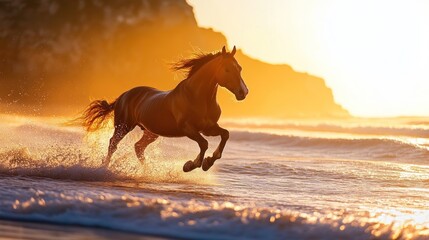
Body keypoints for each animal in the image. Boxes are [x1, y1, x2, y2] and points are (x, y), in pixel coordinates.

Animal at [80, 45, 247, 172]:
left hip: (151, 132)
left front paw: (208, 162)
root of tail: (124, 95)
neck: (198, 97)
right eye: (227, 69)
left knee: (138, 147)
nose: (243, 92)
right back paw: (104, 167)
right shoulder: (188, 128)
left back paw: (147, 171)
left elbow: (225, 134)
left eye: (239, 68)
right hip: (123, 126)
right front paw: (191, 165)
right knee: (113, 144)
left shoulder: (208, 128)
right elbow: (204, 143)